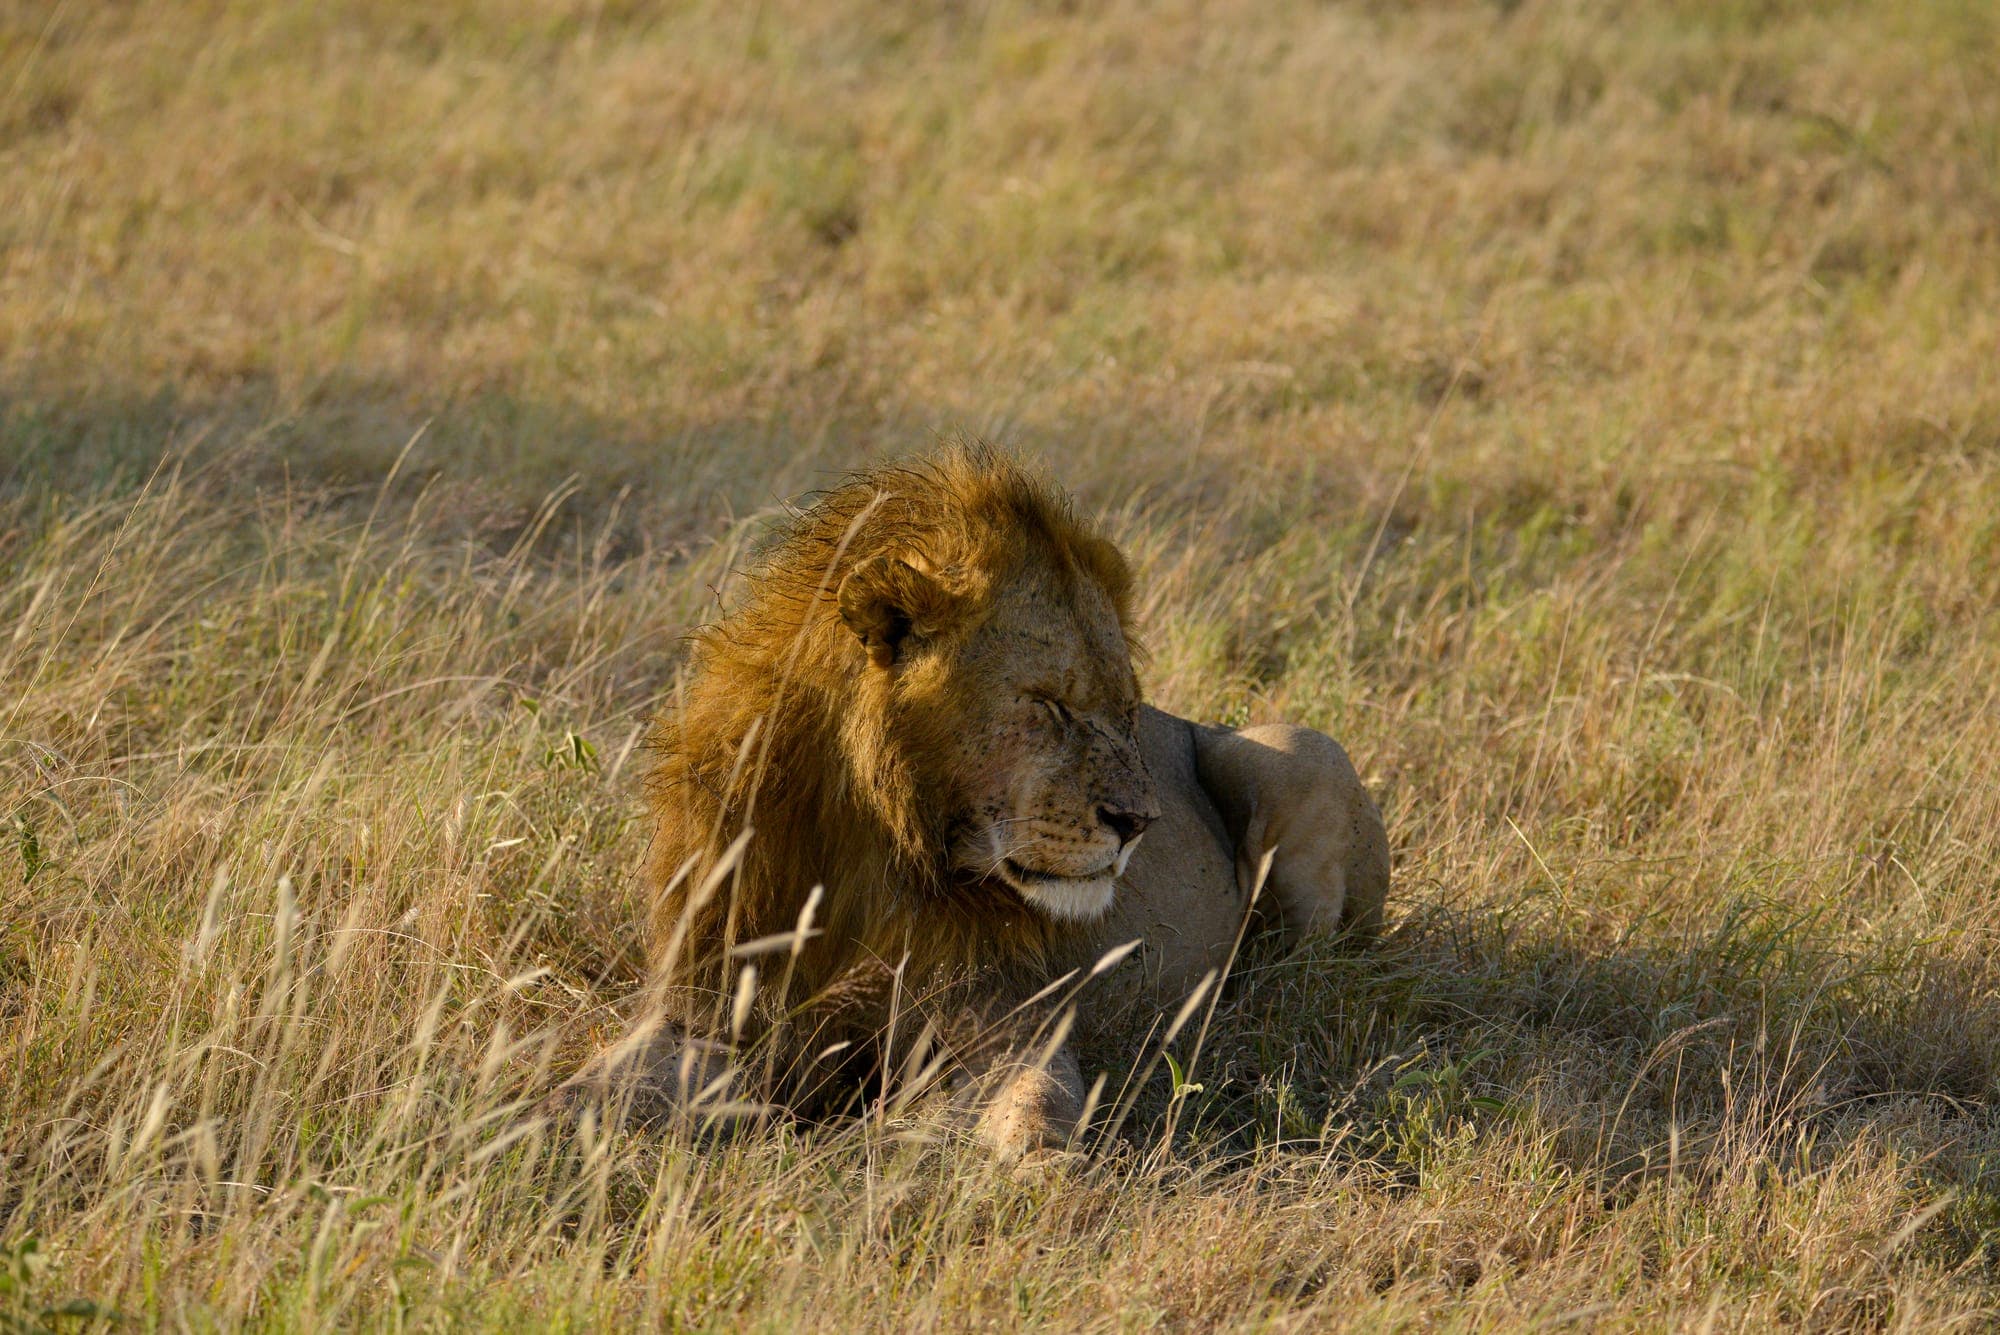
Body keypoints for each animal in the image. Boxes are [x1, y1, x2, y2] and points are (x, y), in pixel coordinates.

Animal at [556, 445, 1388, 1159]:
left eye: (1125, 709)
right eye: (1049, 703)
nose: (1139, 823)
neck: (876, 844)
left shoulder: (1002, 1019)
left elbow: (1024, 1107)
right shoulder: (709, 1005)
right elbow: (598, 1086)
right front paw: (540, 1136)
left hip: (1294, 749)